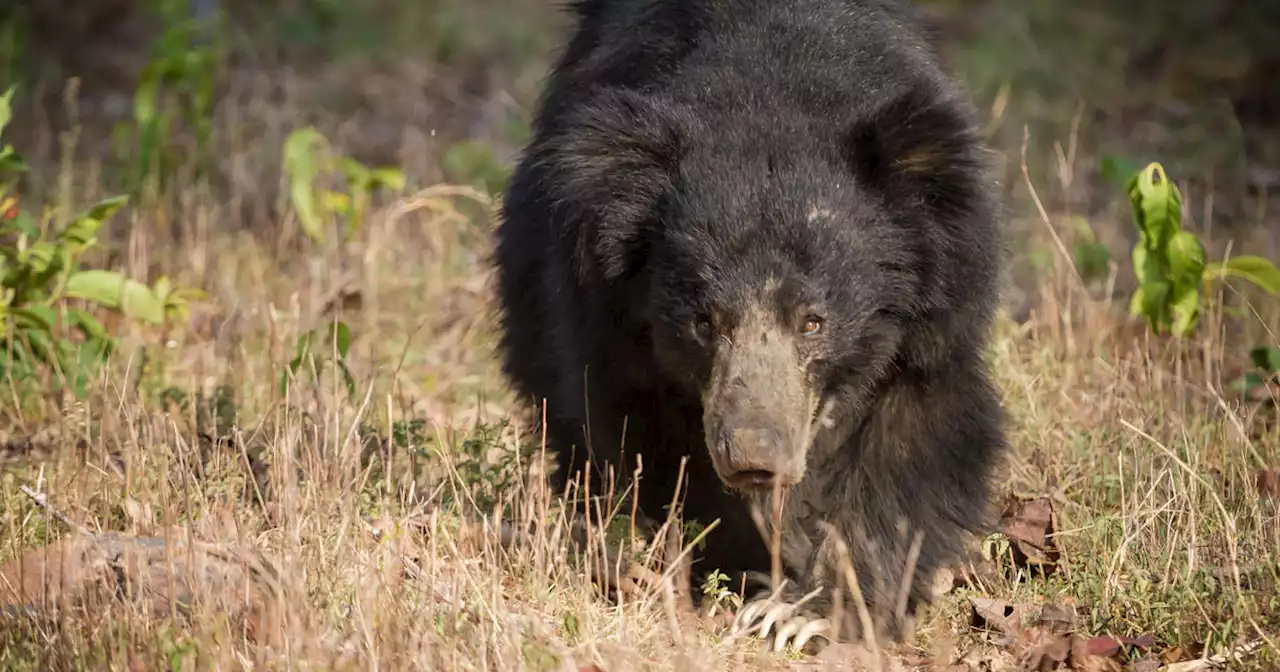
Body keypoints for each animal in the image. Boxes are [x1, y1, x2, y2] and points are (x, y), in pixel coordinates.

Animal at [494, 0, 1003, 652]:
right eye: (703, 321)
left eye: (813, 322)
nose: (755, 457)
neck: (770, 89)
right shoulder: (608, 323)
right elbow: (644, 440)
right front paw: (723, 571)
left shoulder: (935, 315)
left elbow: (913, 444)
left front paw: (809, 615)